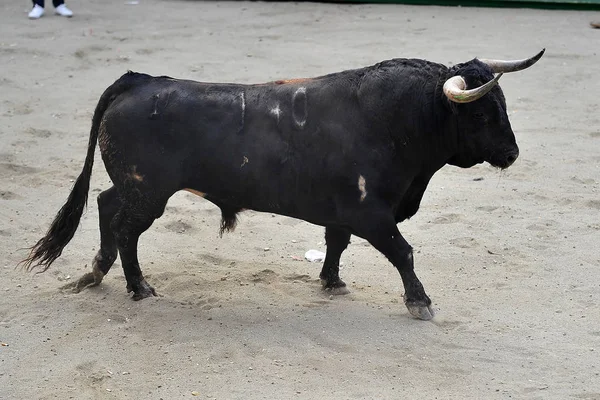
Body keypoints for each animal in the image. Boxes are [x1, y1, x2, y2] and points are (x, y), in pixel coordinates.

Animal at [21, 50, 544, 320]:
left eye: (502, 105)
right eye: (482, 112)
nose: (512, 154)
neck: (397, 120)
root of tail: (139, 79)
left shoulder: (345, 212)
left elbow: (336, 243)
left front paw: (332, 281)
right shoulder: (372, 213)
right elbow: (403, 252)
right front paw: (420, 302)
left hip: (138, 189)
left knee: (107, 207)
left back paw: (100, 272)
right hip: (149, 192)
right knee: (125, 227)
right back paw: (137, 286)